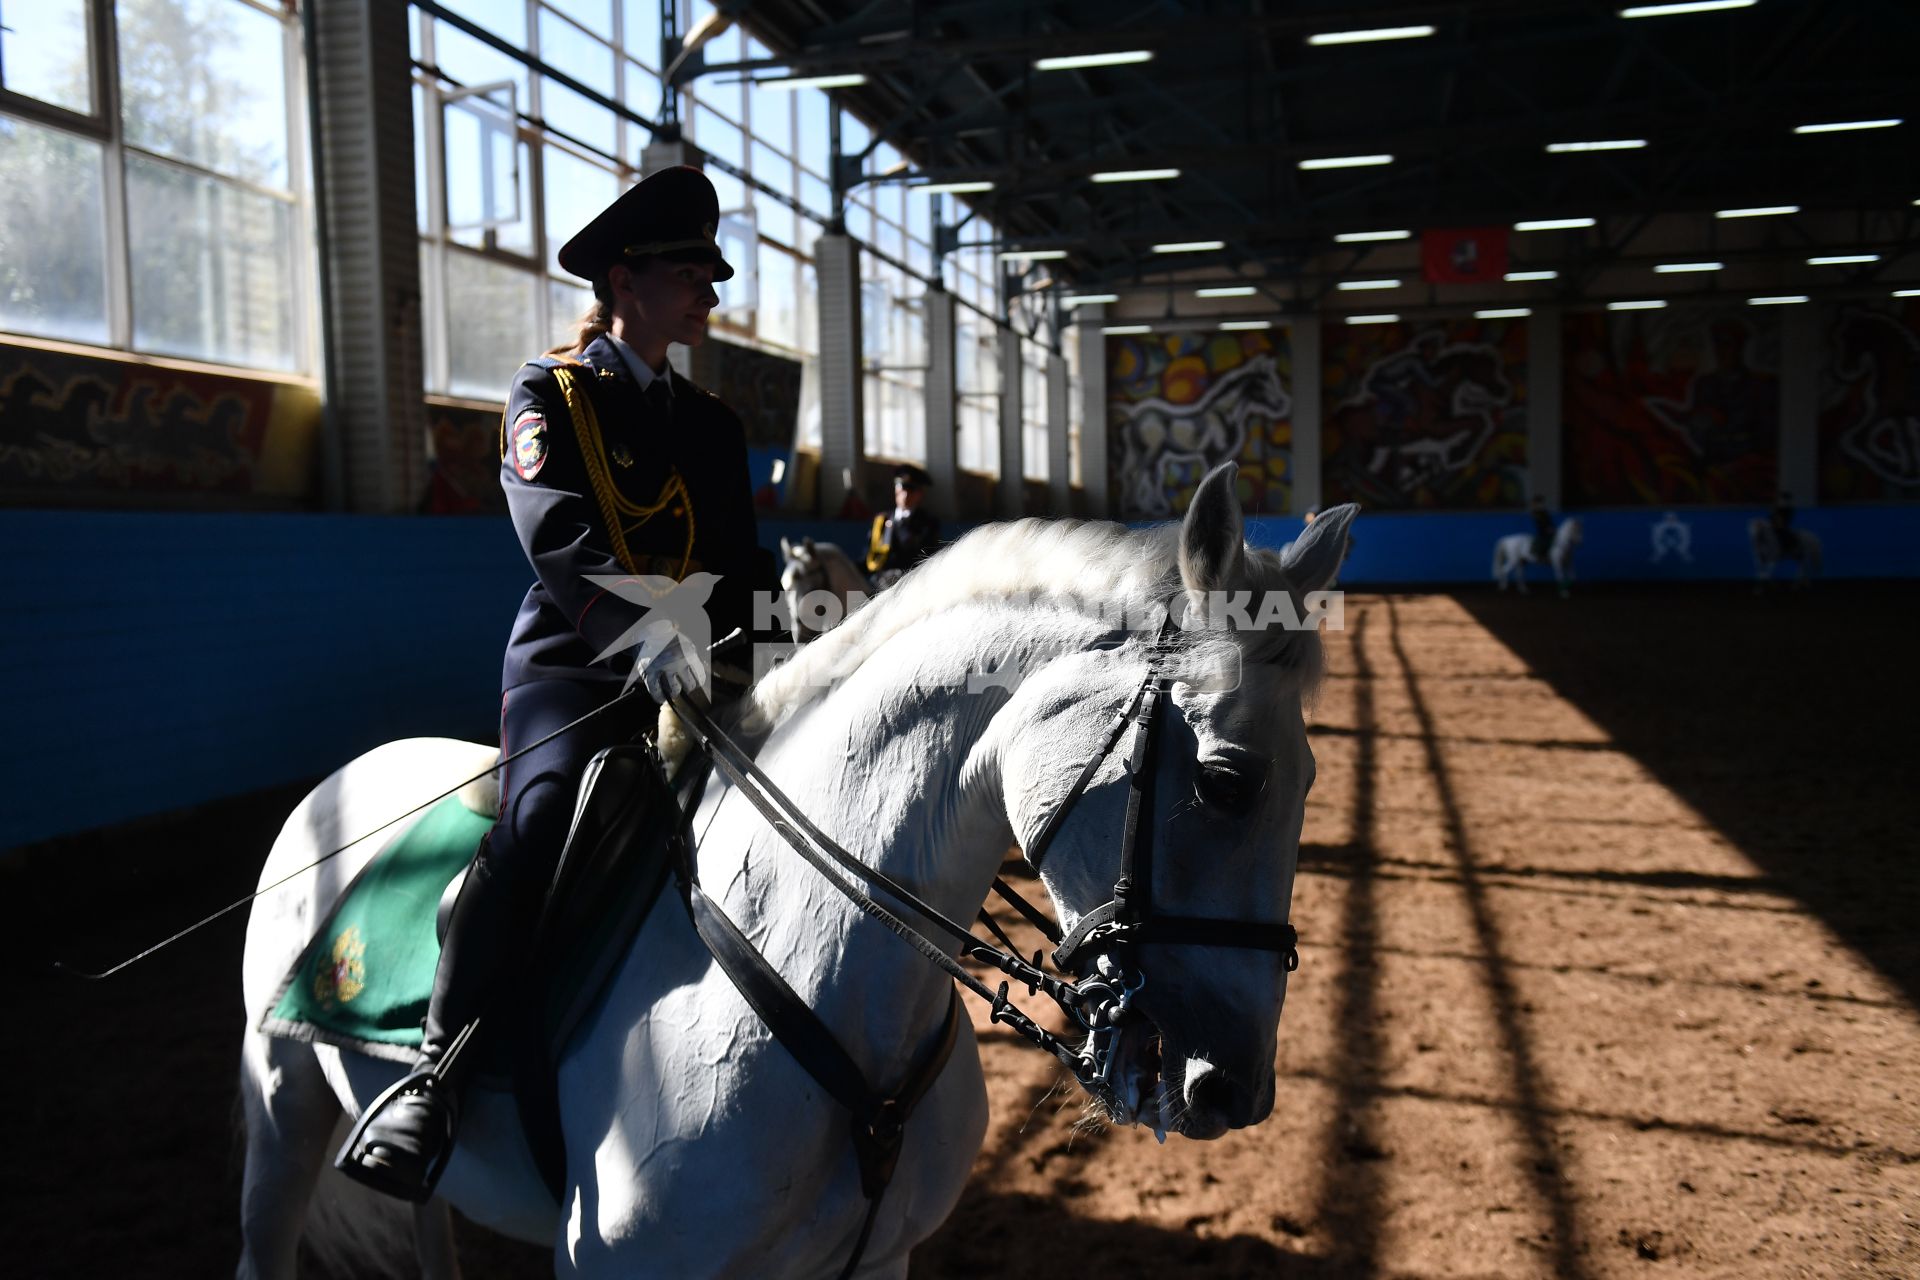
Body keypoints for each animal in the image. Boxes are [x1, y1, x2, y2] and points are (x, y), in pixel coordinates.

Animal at [236, 468, 1351, 1280]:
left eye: (1307, 779)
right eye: (1226, 781)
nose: (1232, 1086)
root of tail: (340, 781)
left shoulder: (878, 1261)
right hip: (281, 1107)